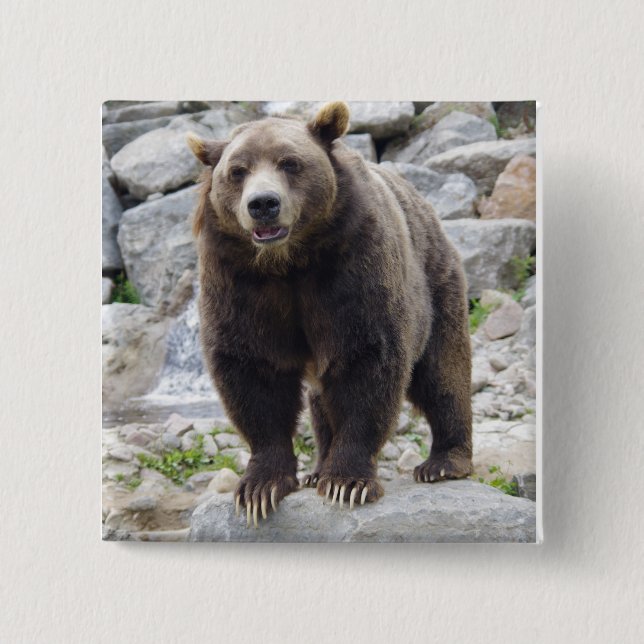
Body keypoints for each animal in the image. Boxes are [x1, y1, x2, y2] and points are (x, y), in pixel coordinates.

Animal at [187, 102, 472, 527]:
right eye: (237, 171)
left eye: (290, 163)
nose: (263, 204)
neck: (288, 262)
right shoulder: (238, 281)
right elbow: (253, 370)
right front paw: (260, 488)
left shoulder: (351, 264)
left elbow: (365, 359)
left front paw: (347, 482)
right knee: (322, 400)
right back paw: (317, 468)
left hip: (437, 284)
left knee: (443, 372)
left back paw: (444, 462)